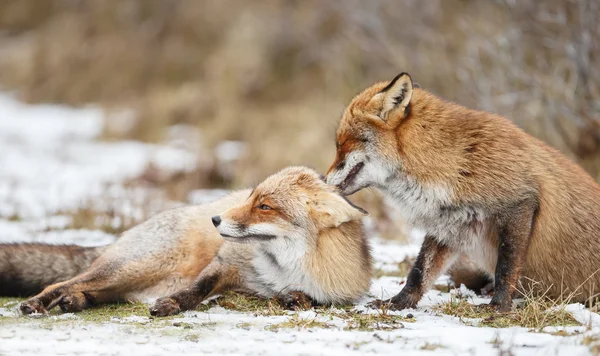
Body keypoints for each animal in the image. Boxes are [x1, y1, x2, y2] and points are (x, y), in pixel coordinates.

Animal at [1, 167, 370, 318]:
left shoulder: (335, 293)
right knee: (64, 282)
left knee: (93, 292)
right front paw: (170, 306)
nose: (216, 220)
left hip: (130, 281)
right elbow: (196, 290)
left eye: (265, 206)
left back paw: (75, 302)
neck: (286, 268)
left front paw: (294, 298)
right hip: (131, 267)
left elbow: (308, 300)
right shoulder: (226, 263)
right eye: (250, 197)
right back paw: (40, 303)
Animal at [326, 72, 600, 312]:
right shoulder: (450, 223)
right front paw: (398, 303)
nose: (325, 180)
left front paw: (498, 306)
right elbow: (419, 272)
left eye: (342, 144)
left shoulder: (519, 203)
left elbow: (506, 266)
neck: (455, 162)